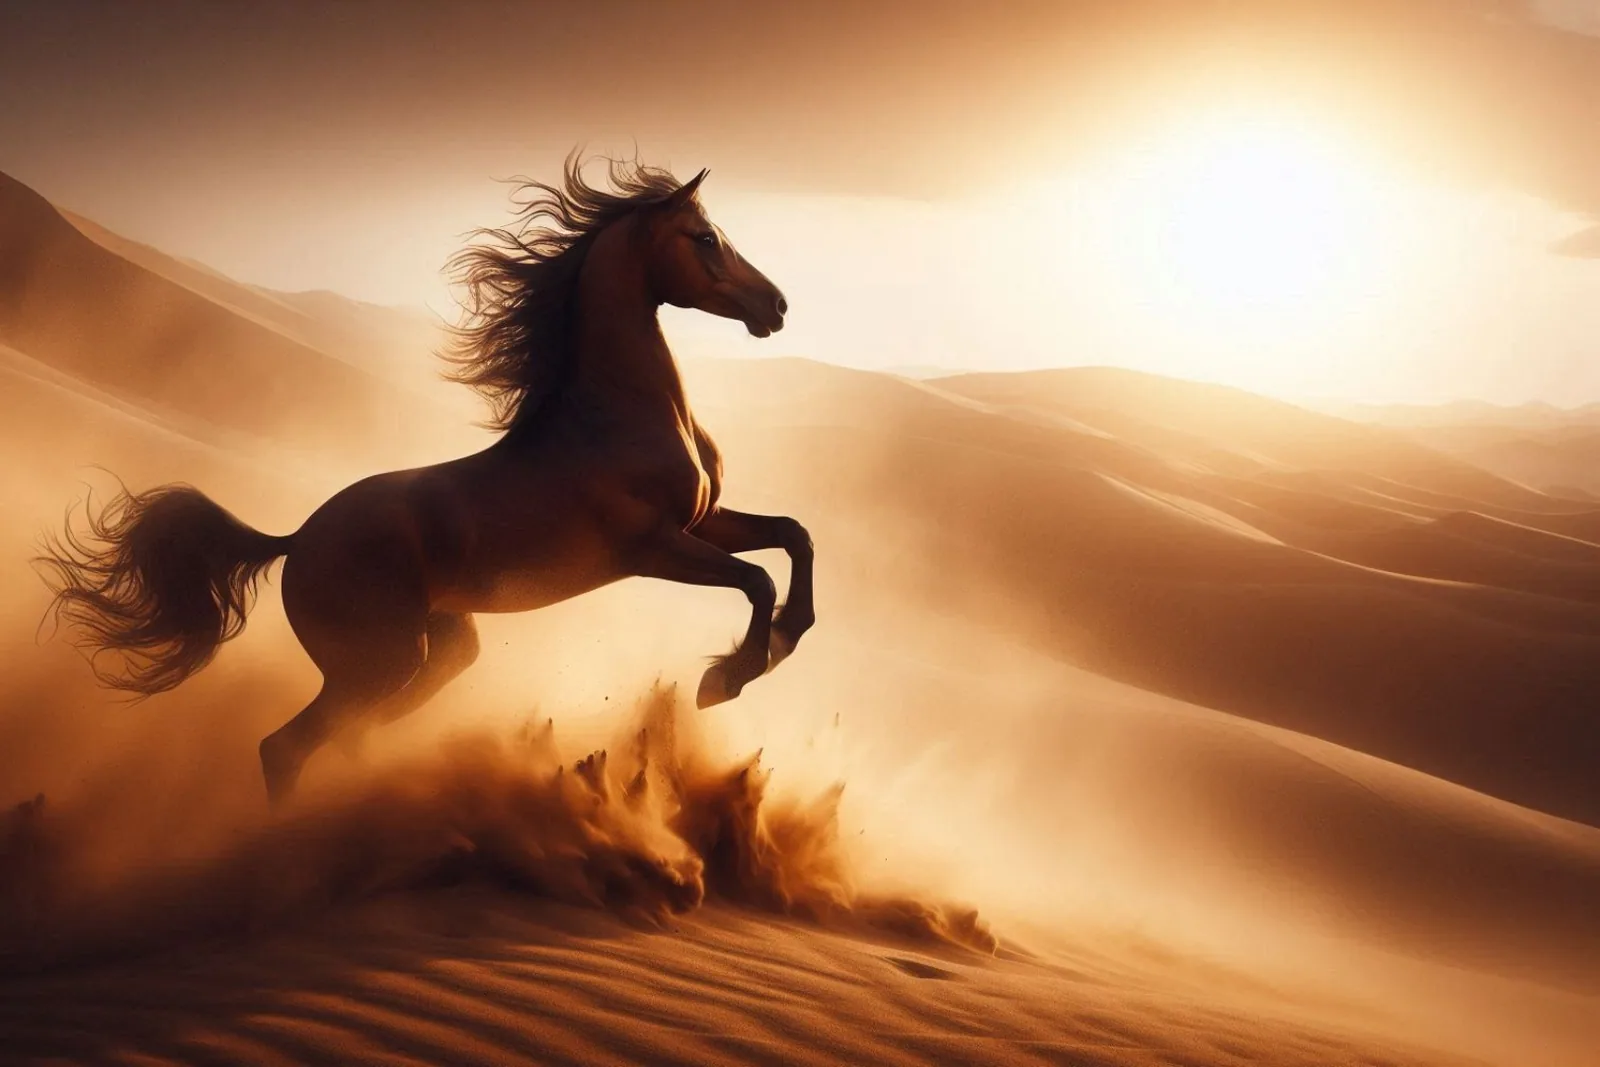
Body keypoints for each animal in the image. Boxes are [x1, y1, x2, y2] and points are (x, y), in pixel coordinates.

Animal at [37, 154, 815, 805]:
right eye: (704, 237)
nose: (776, 306)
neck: (617, 412)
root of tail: (294, 541)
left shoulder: (704, 522)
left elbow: (793, 537)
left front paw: (784, 638)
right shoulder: (652, 547)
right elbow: (756, 580)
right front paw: (726, 677)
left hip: (438, 651)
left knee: (346, 735)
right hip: (378, 661)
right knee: (285, 747)